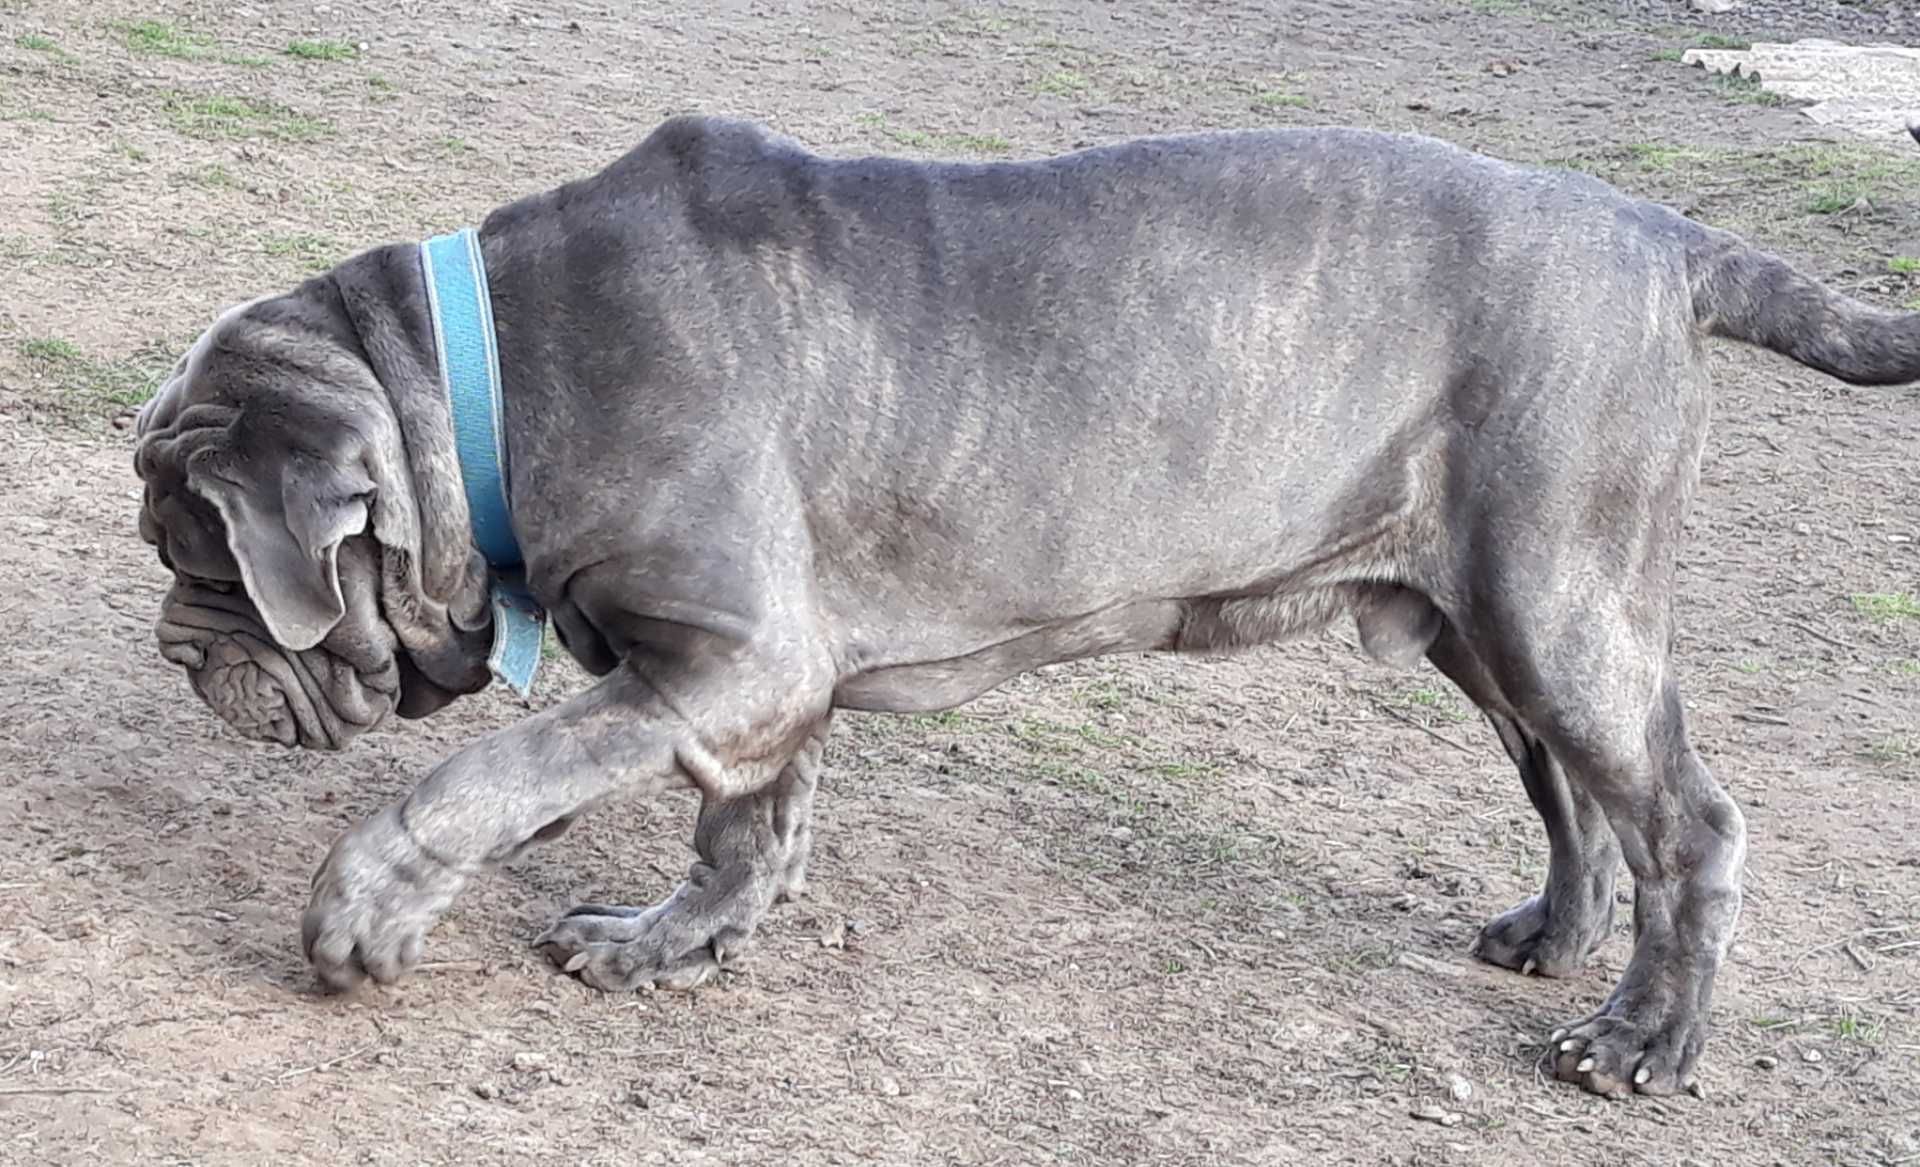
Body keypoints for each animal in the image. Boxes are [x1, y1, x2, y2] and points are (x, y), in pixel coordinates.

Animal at [127, 114, 1912, 1097]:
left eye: (197, 551)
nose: (176, 646)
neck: (493, 375)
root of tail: (1660, 234)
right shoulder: (763, 674)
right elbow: (745, 826)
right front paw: (669, 944)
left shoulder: (728, 656)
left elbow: (494, 771)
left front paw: (368, 904)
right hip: (1484, 616)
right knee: (1579, 796)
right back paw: (1554, 939)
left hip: (1558, 596)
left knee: (1687, 818)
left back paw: (1645, 1041)